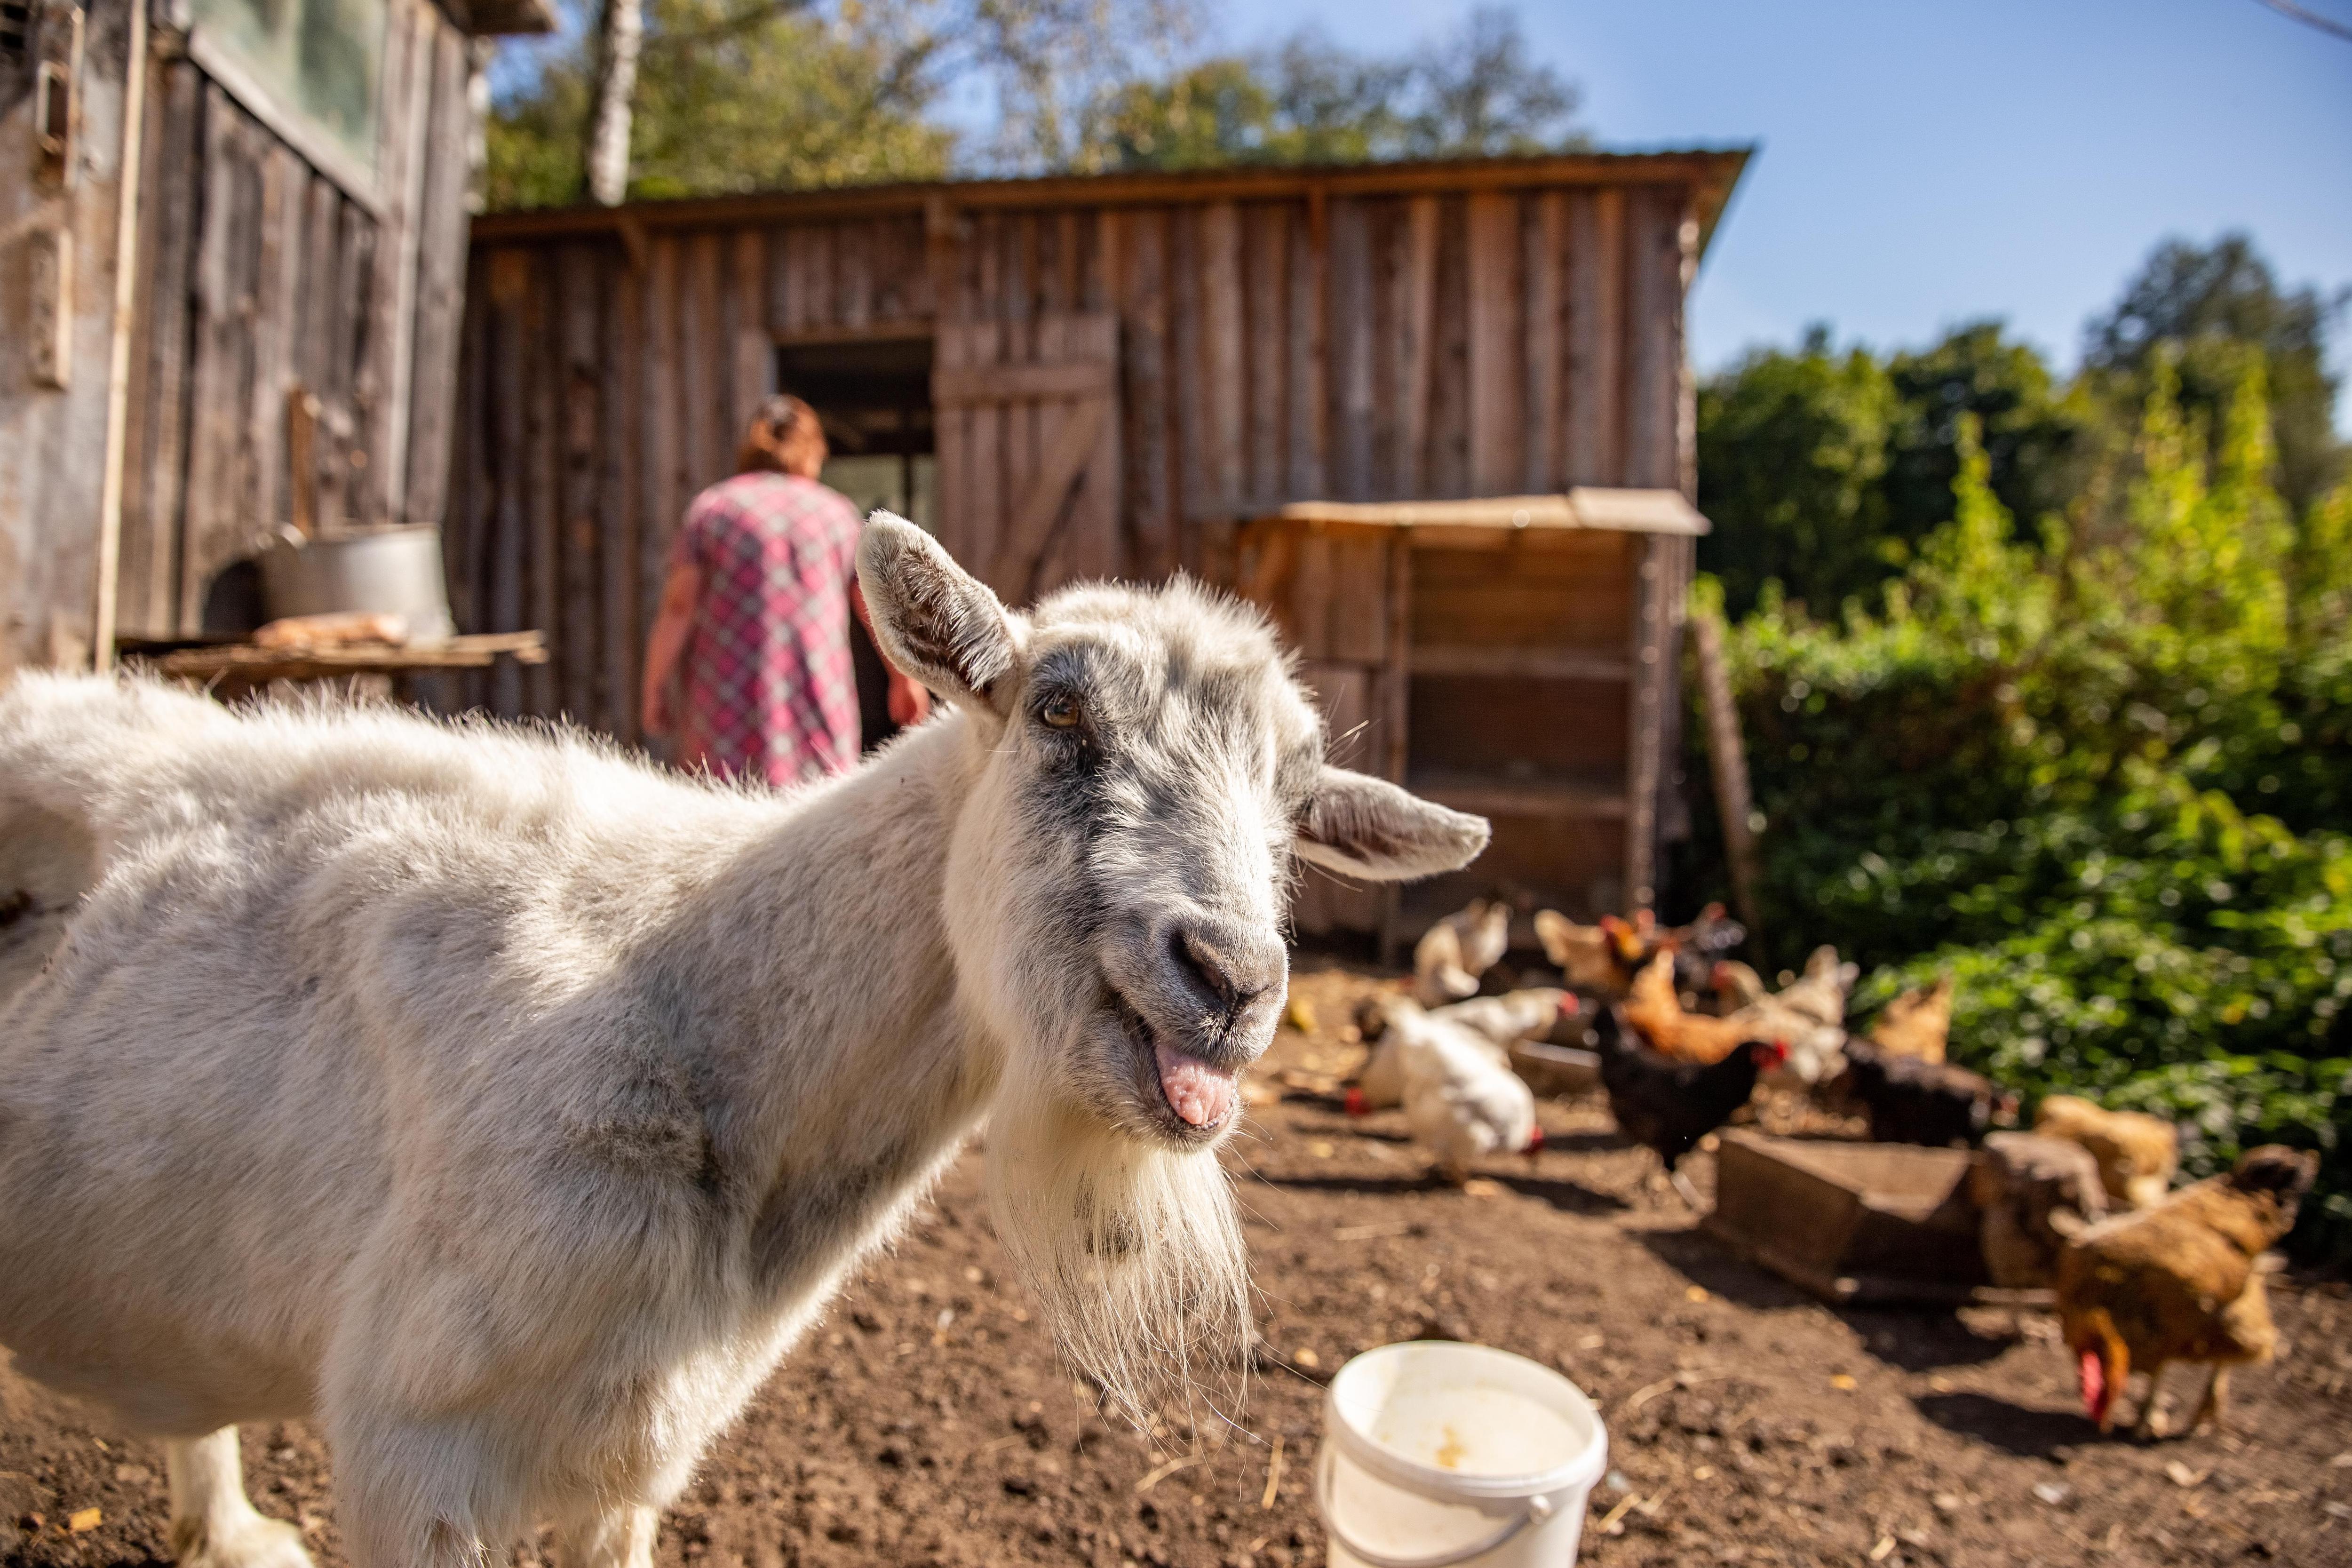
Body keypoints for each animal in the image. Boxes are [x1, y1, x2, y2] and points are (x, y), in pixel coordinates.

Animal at [0, 522, 1477, 1568]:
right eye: (1059, 711)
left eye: (1298, 801)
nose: (1231, 977)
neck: (699, 1000)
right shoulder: (414, 1442)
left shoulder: (631, 1455)